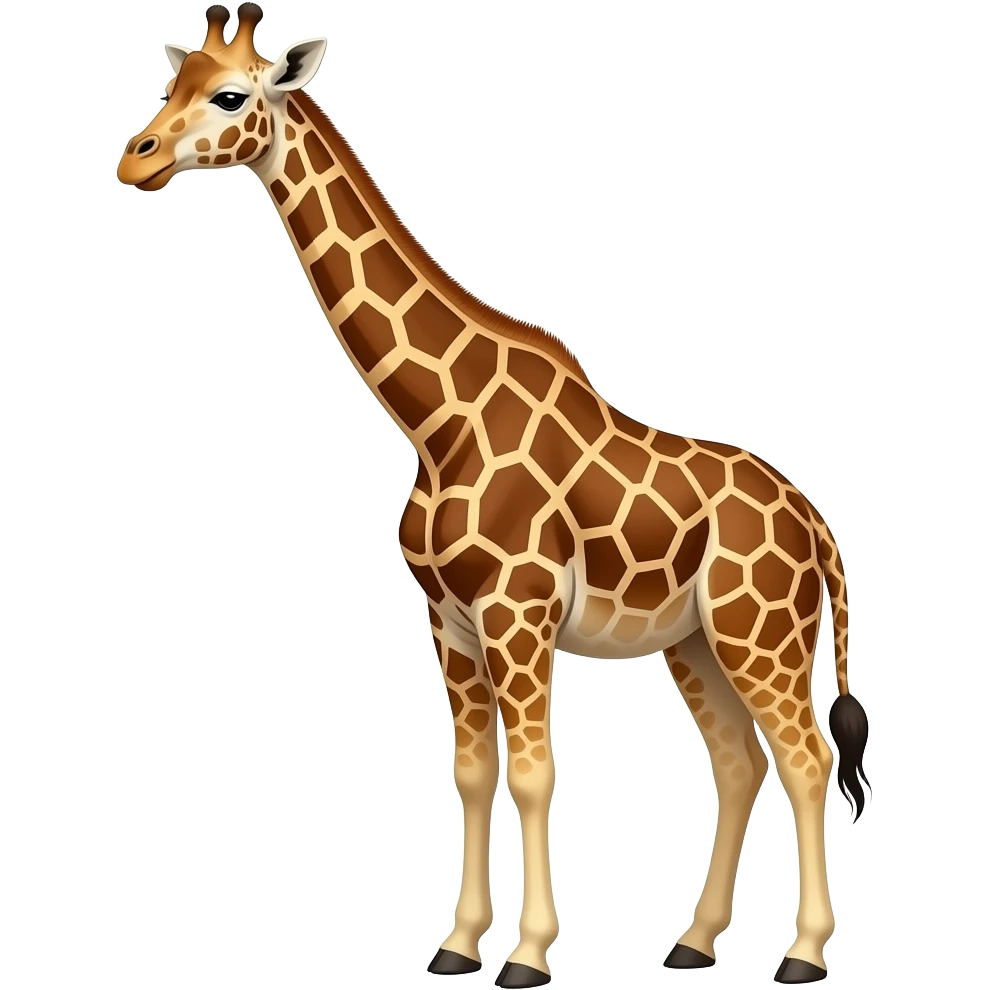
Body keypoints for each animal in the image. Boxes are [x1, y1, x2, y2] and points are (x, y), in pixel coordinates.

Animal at [116, 5, 872, 985]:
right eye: (174, 81)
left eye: (232, 96)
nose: (136, 159)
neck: (439, 425)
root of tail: (818, 526)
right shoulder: (448, 618)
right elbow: (474, 773)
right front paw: (456, 944)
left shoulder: (519, 613)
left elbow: (534, 771)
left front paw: (527, 955)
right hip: (695, 640)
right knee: (741, 761)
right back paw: (692, 943)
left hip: (761, 632)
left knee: (806, 756)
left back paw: (804, 955)